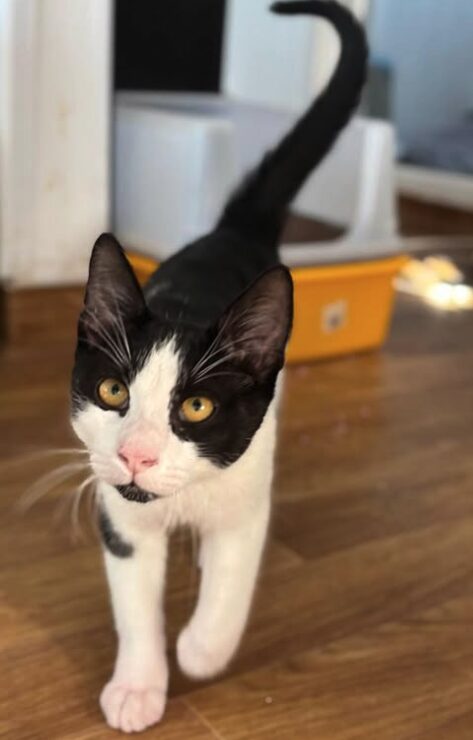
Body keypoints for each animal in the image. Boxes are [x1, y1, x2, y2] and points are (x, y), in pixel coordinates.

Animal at [70, 1, 366, 736]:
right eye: (113, 390)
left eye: (196, 407)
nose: (137, 456)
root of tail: (230, 232)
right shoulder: (119, 518)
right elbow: (134, 602)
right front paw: (139, 685)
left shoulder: (247, 486)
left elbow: (233, 573)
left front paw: (202, 649)